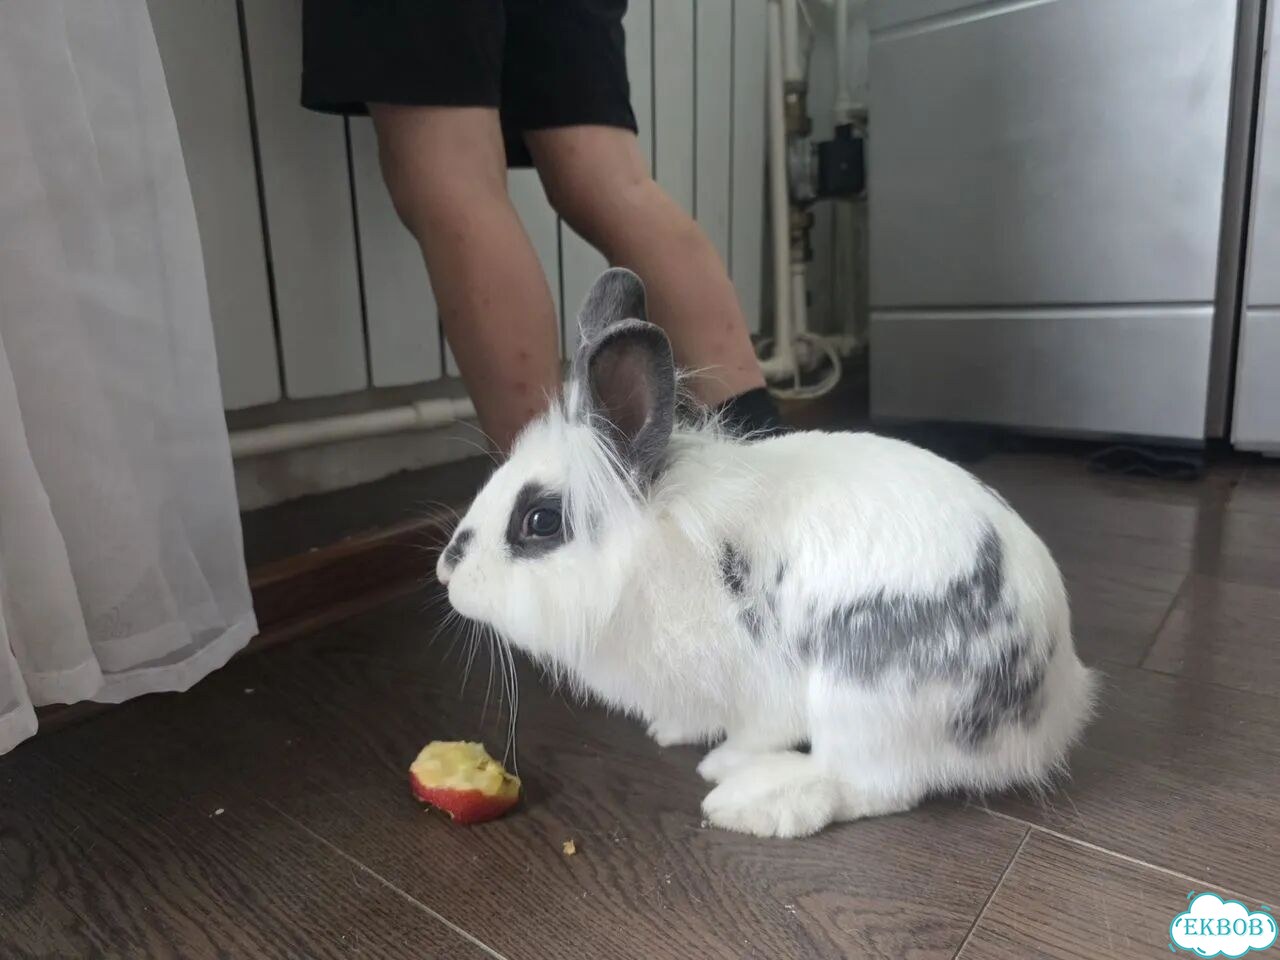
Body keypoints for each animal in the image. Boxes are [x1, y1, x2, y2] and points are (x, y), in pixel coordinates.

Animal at [437, 267, 1096, 839]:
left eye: (541, 521)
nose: (447, 572)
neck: (650, 555)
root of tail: (1050, 708)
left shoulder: (762, 690)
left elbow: (759, 730)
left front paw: (721, 760)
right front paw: (670, 729)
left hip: (862, 698)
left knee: (870, 785)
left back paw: (752, 800)